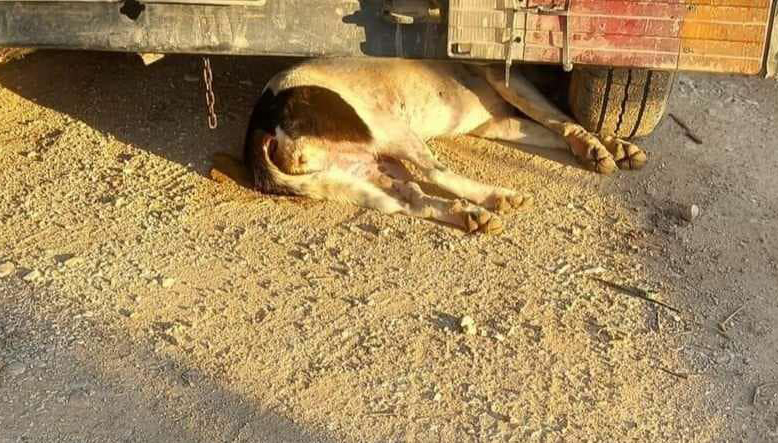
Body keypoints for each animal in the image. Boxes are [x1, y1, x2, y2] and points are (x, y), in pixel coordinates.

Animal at [211, 58, 644, 234]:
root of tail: (260, 124)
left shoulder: (497, 121)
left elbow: (554, 126)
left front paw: (611, 146)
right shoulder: (507, 82)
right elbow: (559, 118)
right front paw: (598, 145)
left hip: (361, 170)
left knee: (410, 200)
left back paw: (469, 216)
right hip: (391, 130)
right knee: (439, 174)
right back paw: (496, 197)